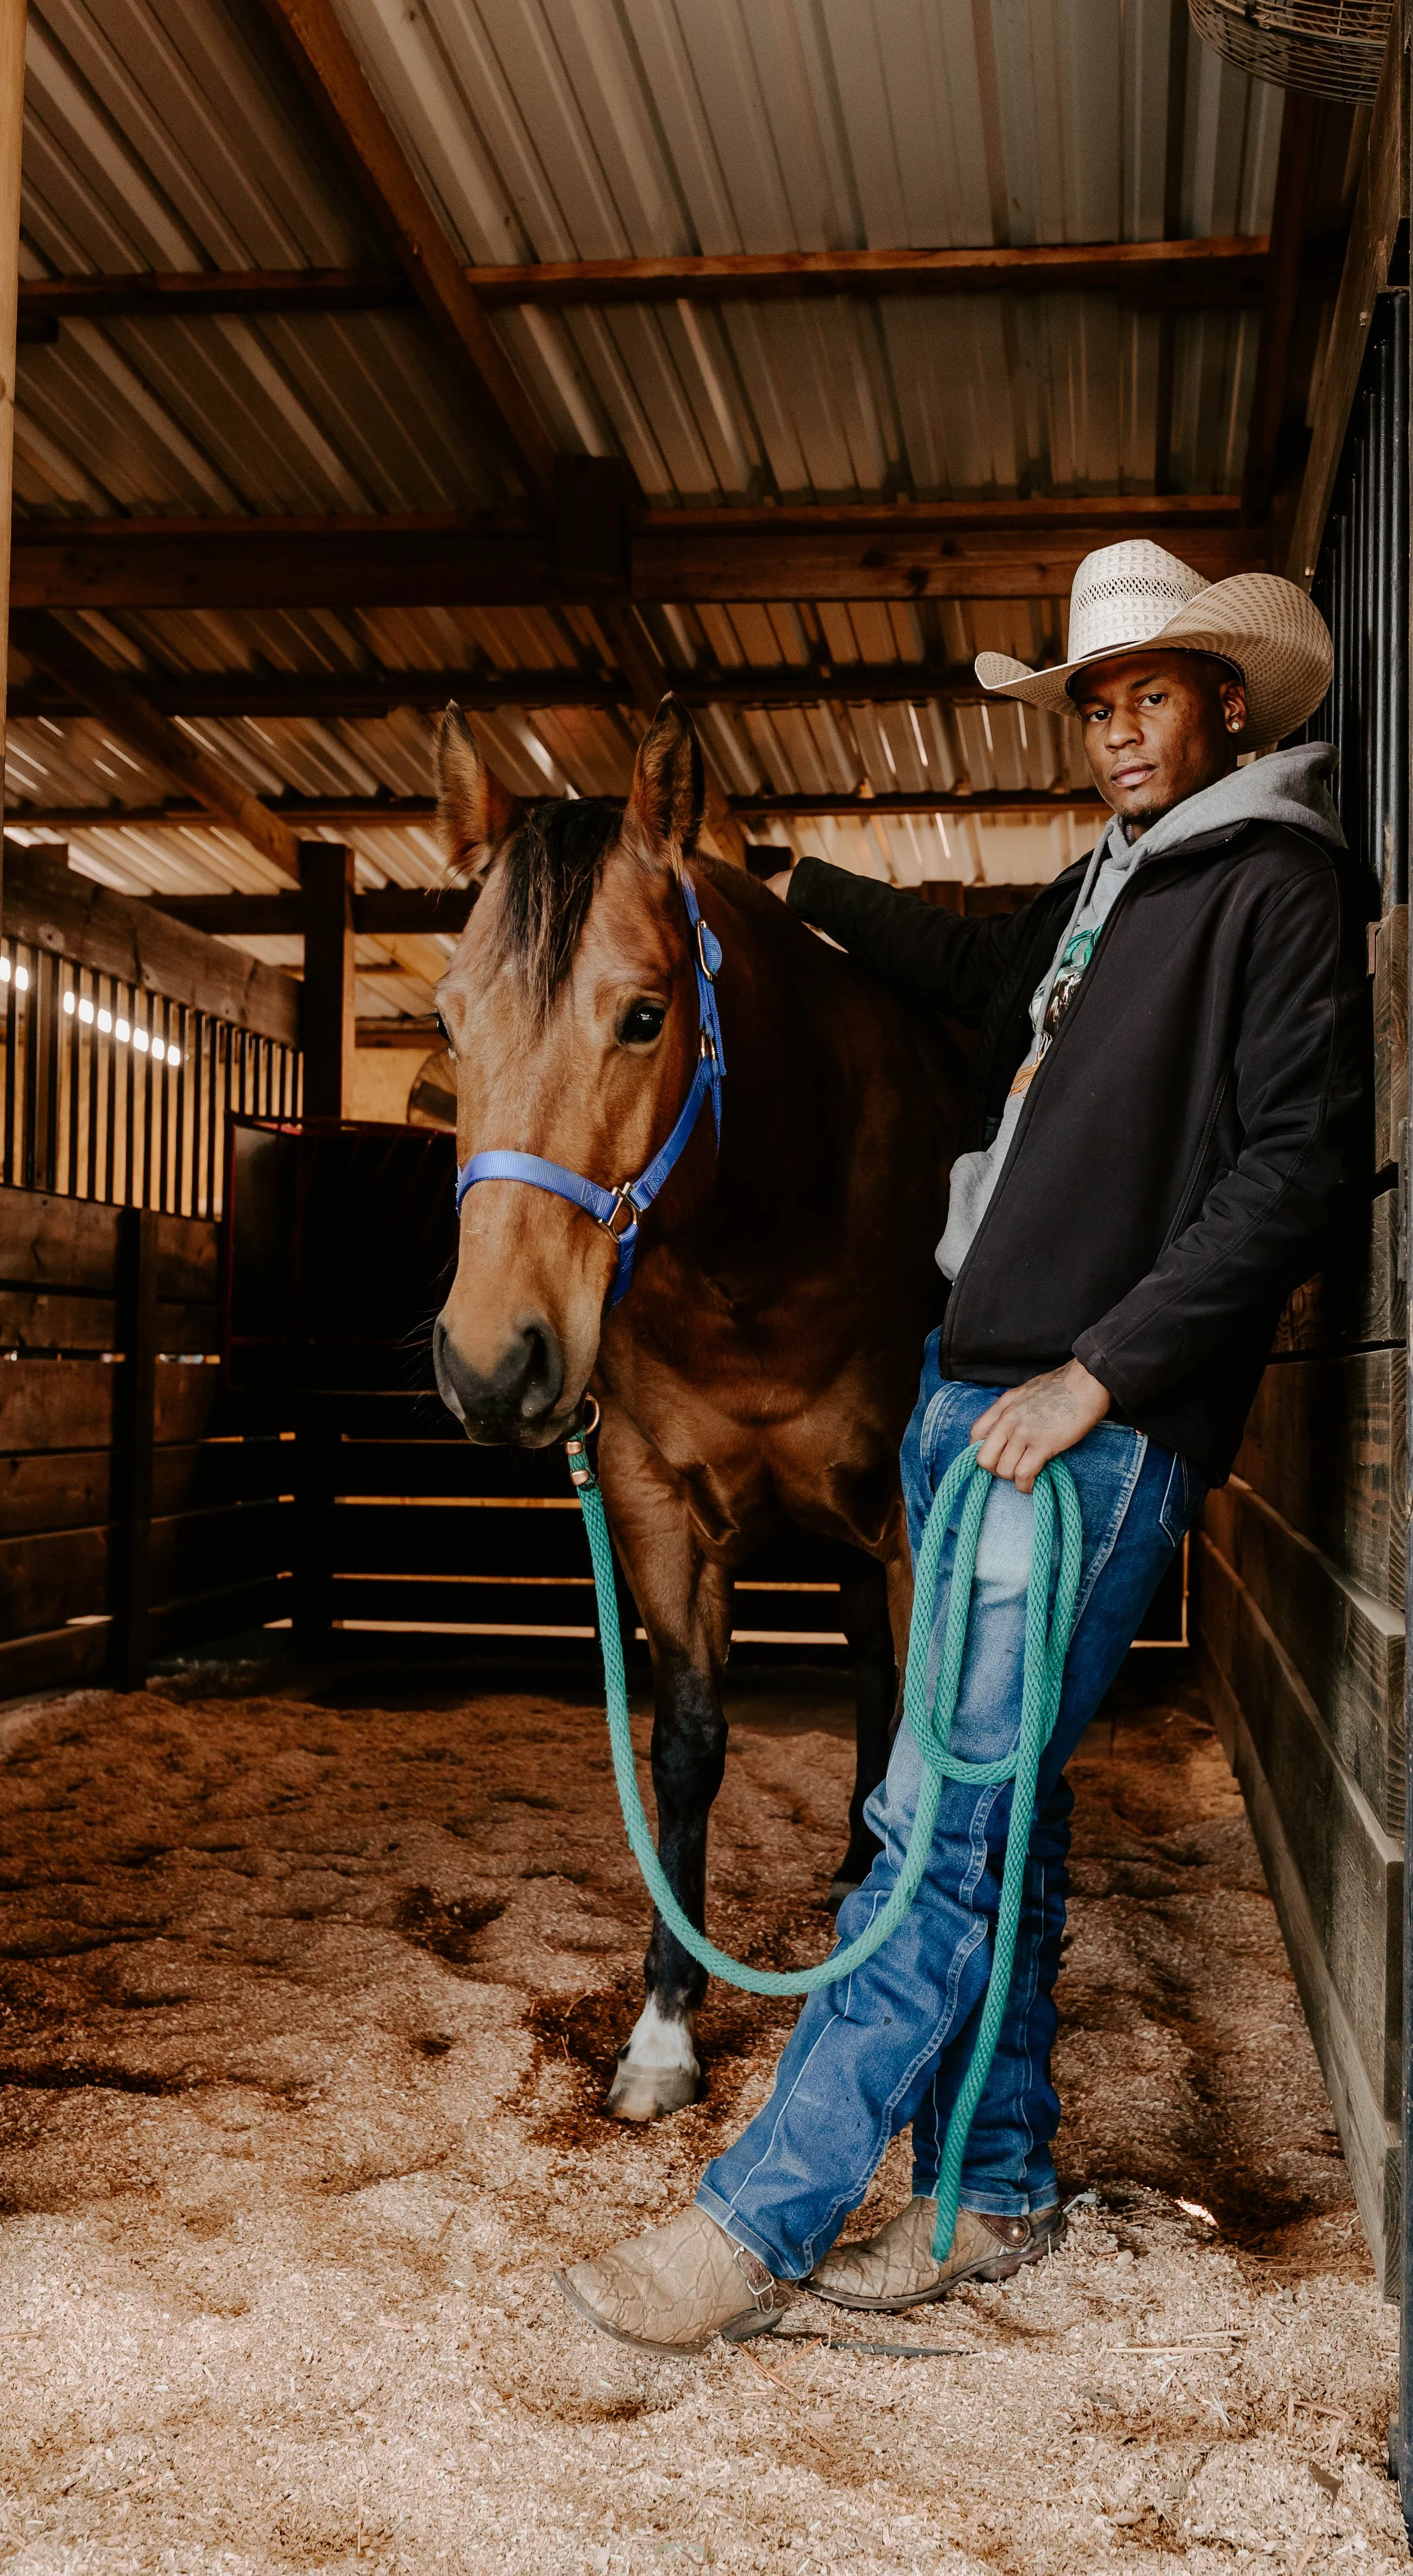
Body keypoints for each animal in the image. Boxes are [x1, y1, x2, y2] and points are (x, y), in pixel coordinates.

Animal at [431, 695, 962, 2120]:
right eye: (448, 1023)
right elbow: (684, 1746)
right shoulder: (649, 1496)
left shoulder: (910, 1511)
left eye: (642, 1014)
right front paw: (663, 2023)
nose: (490, 1364)